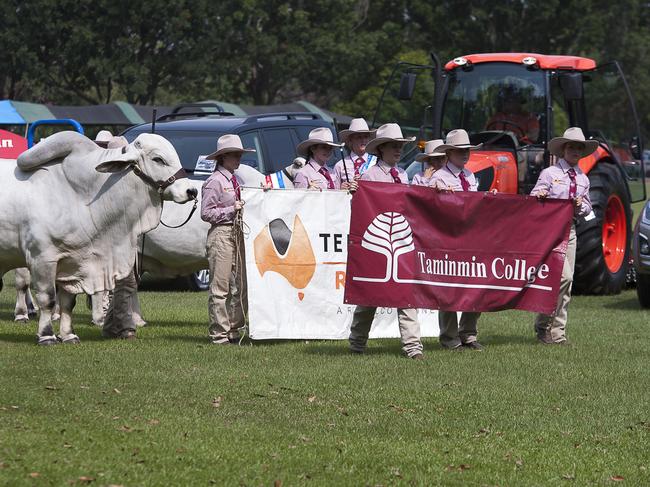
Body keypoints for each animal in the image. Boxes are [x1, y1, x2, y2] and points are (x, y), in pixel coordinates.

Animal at [0, 130, 195, 344]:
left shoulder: (73, 261)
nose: (191, 190)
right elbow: (48, 299)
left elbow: (68, 302)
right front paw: (47, 336)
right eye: (158, 159)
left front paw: (69, 335)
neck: (79, 195)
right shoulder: (42, 257)